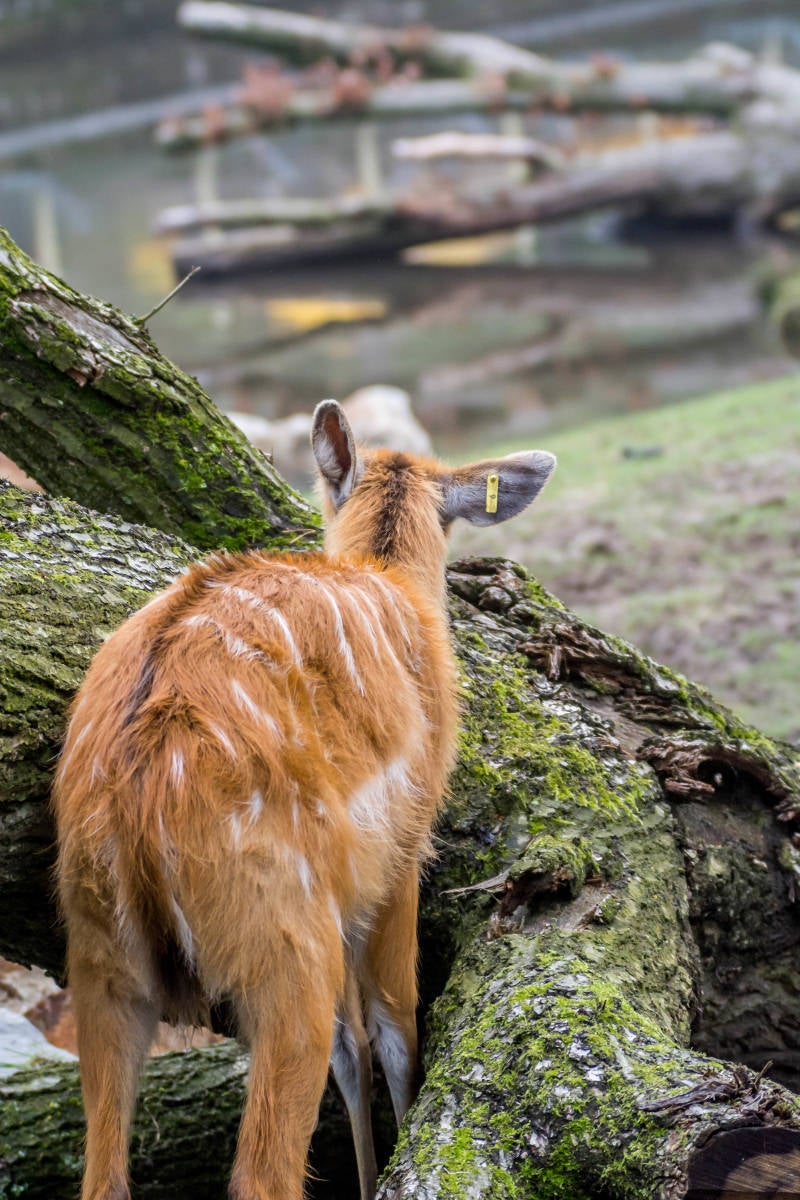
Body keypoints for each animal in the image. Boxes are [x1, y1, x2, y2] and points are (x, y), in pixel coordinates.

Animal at [53, 399, 555, 1200]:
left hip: (98, 950)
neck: (393, 579)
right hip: (285, 937)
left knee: (103, 1174)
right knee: (264, 1168)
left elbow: (355, 1048)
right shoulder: (405, 845)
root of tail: (132, 802)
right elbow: (395, 1027)